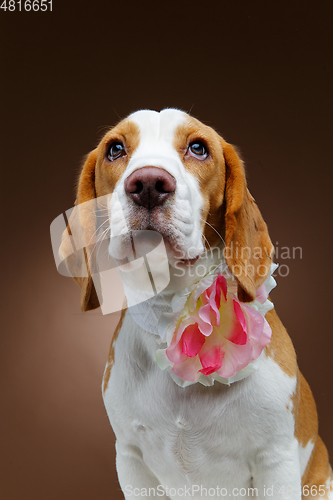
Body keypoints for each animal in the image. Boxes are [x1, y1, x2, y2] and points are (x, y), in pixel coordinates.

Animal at [60, 108, 332, 496]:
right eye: (115, 149)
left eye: (198, 148)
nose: (148, 183)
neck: (172, 309)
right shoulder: (130, 460)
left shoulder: (275, 462)